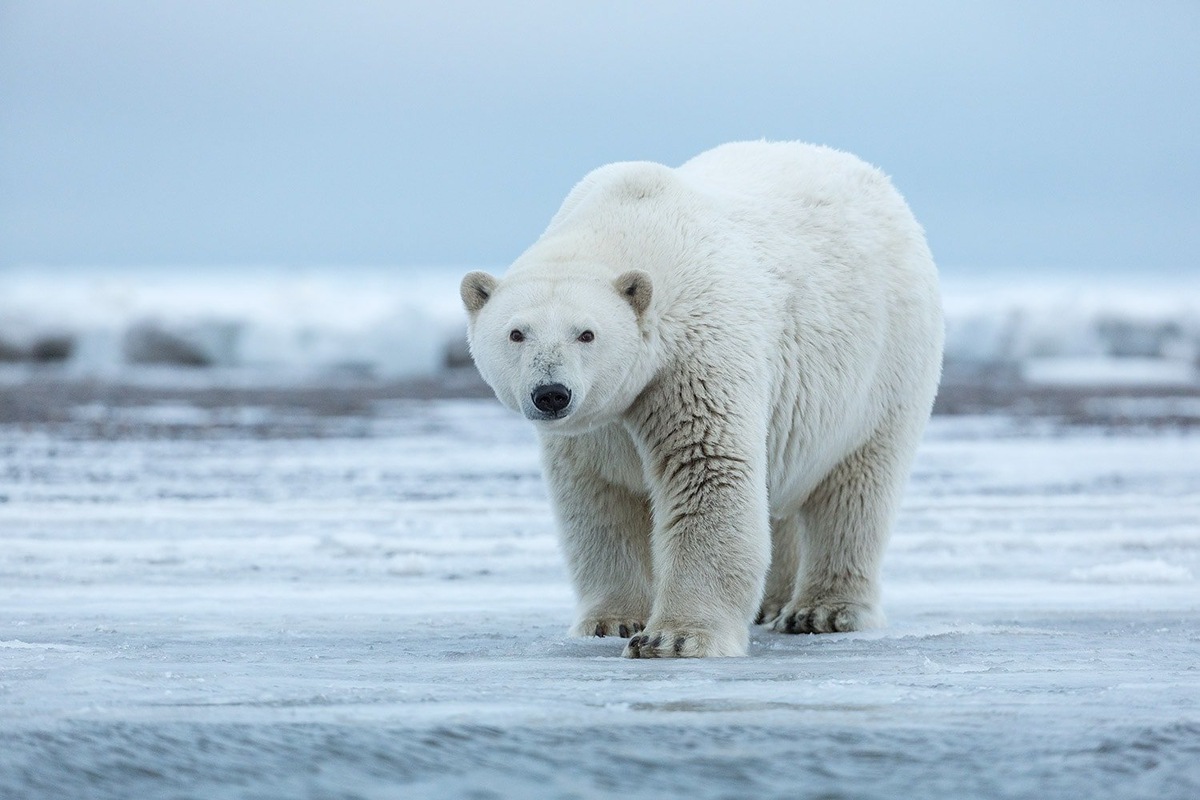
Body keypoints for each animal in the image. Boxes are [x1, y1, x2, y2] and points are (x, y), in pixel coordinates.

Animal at [463, 140, 940, 662]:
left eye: (586, 333)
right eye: (516, 333)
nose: (551, 393)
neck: (631, 222)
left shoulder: (694, 356)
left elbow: (706, 469)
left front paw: (673, 638)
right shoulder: (598, 423)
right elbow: (600, 496)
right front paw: (611, 621)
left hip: (884, 366)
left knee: (857, 488)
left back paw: (823, 611)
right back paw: (772, 603)